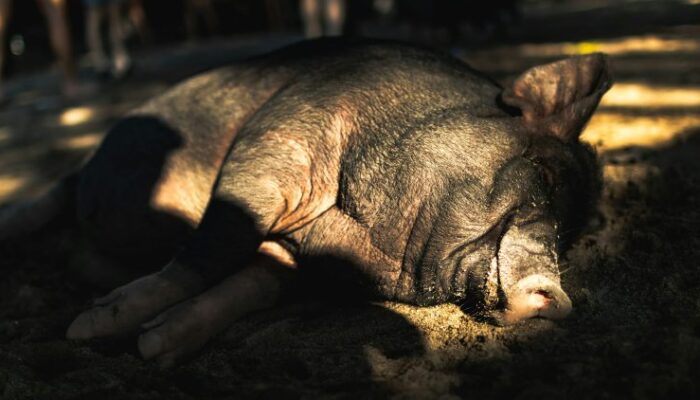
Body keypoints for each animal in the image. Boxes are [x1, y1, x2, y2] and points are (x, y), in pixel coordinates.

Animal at [0, 38, 611, 367]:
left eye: (568, 237)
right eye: (541, 172)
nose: (559, 299)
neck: (370, 242)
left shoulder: (297, 263)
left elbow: (247, 287)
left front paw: (155, 347)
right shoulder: (279, 144)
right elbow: (214, 247)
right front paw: (91, 328)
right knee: (49, 195)